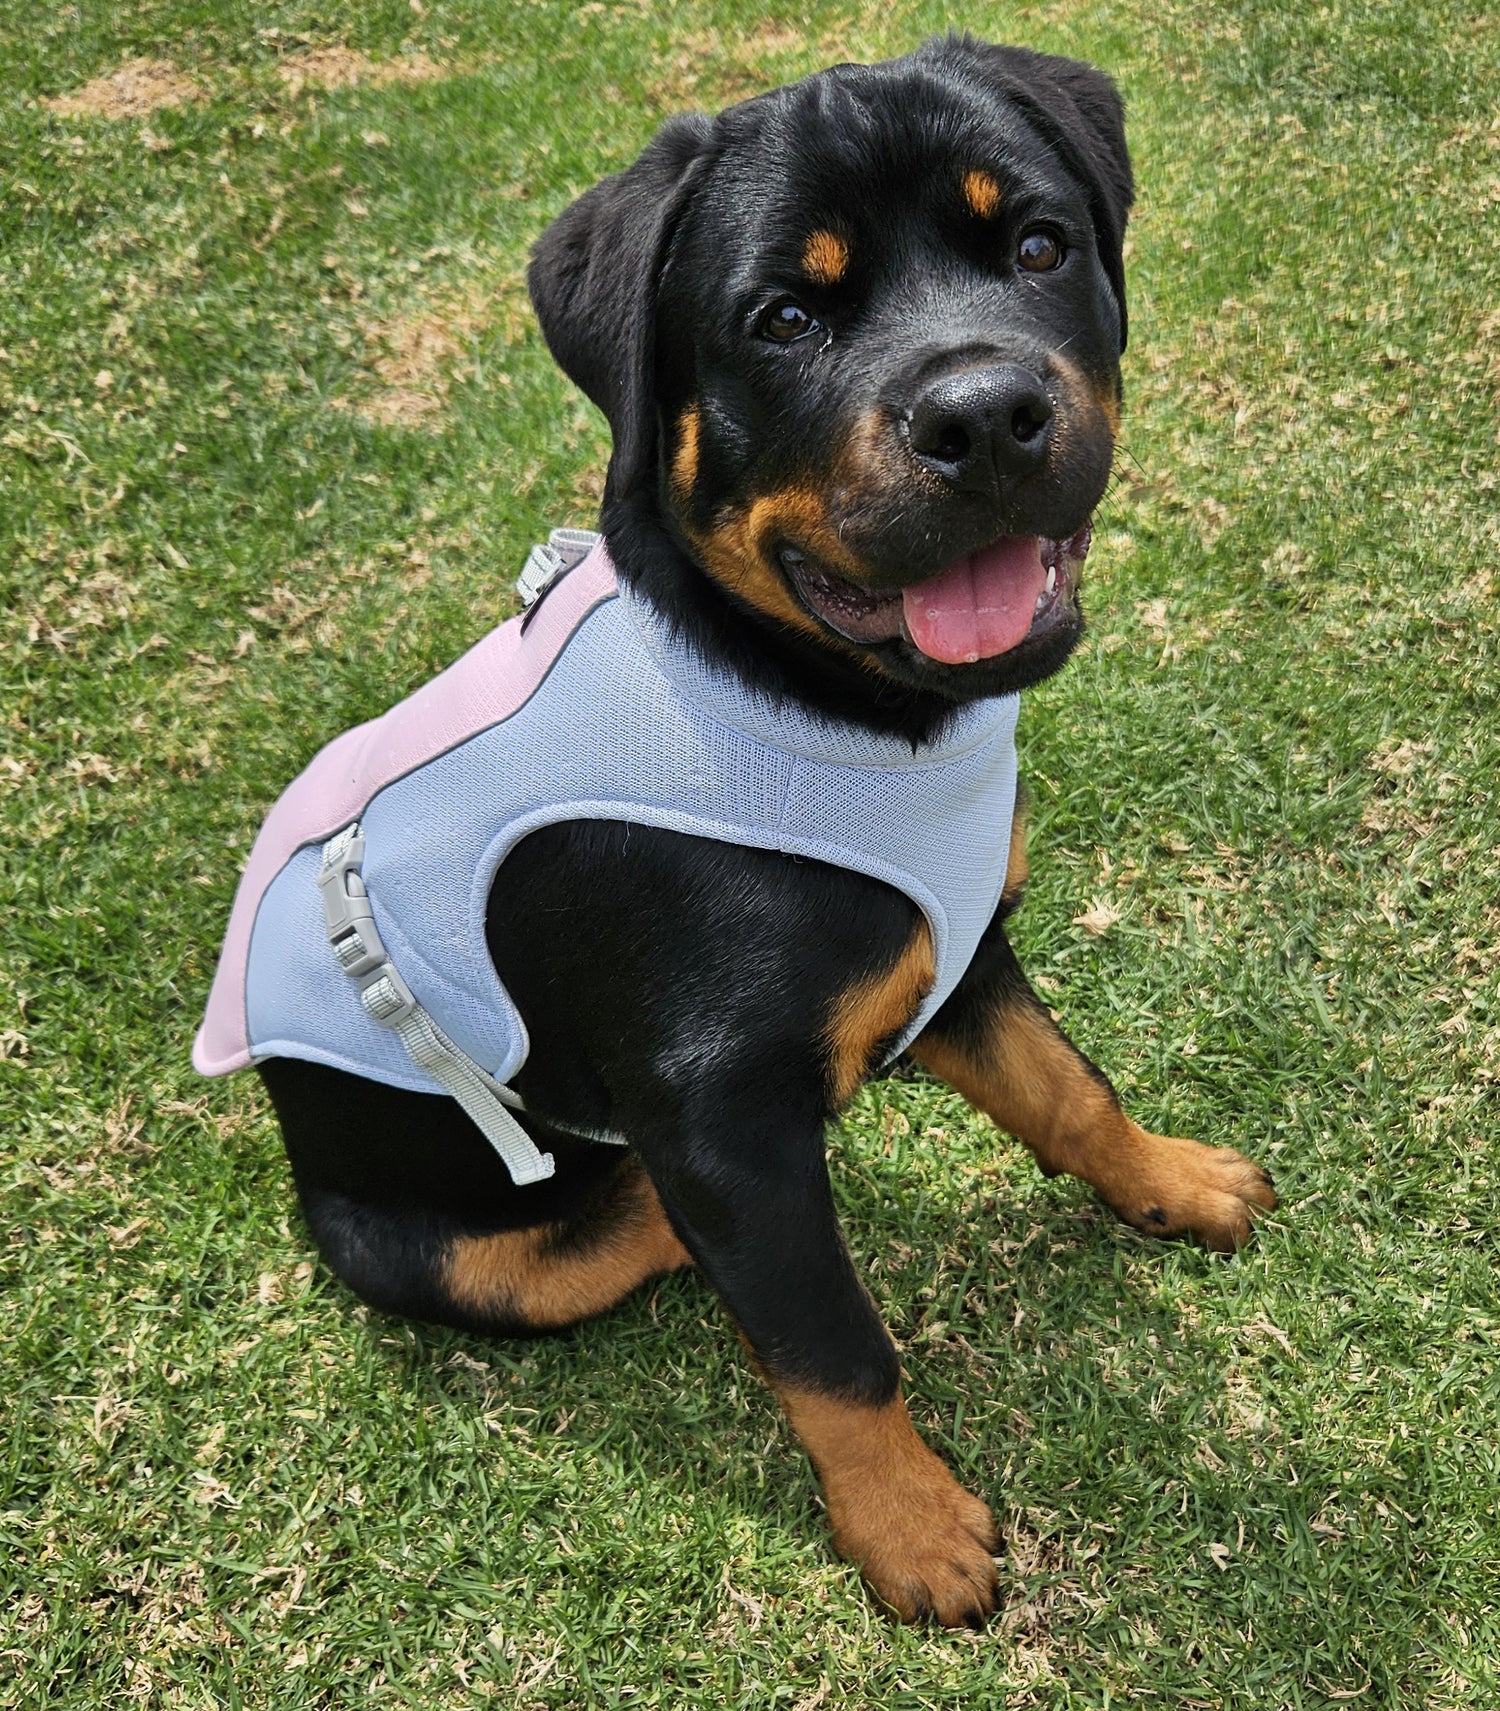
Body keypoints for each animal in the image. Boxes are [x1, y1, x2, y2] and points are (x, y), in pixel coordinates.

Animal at [248, 33, 1272, 1622]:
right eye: (781, 318)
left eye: (1039, 245)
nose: (983, 416)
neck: (825, 712)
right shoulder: (720, 1122)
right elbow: (832, 1343)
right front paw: (912, 1531)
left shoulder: (965, 951)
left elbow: (1068, 1088)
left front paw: (1174, 1179)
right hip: (472, 1243)